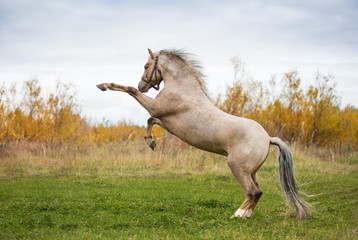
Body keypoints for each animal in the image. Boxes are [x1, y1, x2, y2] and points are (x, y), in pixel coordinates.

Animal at [97, 48, 310, 219]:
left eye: (146, 65)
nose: (143, 85)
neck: (183, 89)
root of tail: (268, 138)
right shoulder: (163, 119)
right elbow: (150, 121)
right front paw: (151, 141)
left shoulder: (156, 107)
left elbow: (130, 91)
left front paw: (104, 85)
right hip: (252, 171)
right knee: (258, 191)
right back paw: (246, 215)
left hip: (238, 167)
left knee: (253, 191)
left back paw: (237, 215)